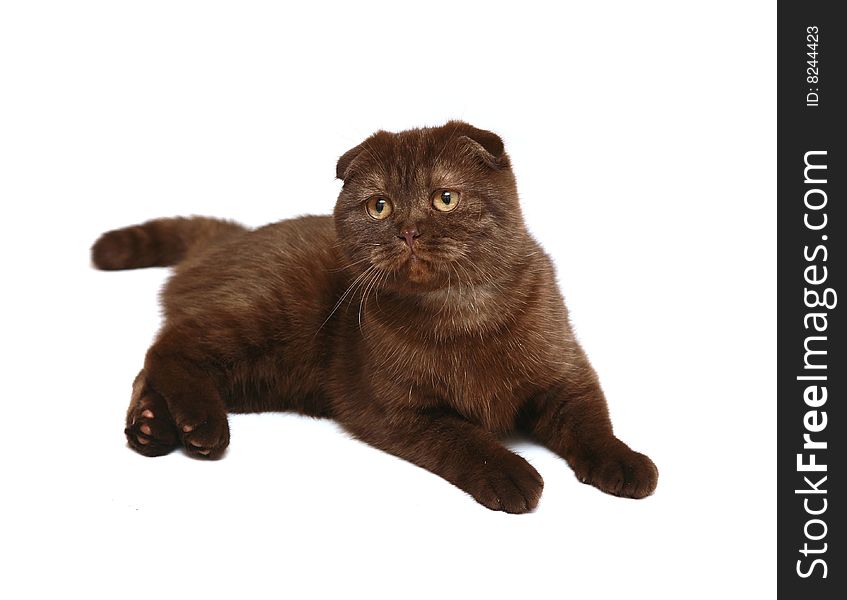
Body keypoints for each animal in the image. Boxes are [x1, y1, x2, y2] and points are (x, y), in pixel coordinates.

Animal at [94, 120, 664, 510]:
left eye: (445, 198)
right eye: (380, 206)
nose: (408, 230)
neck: (462, 313)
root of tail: (233, 238)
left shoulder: (565, 375)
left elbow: (591, 422)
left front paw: (624, 462)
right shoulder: (400, 409)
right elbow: (464, 438)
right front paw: (511, 475)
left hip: (256, 374)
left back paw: (152, 429)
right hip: (257, 320)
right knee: (170, 347)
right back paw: (198, 425)